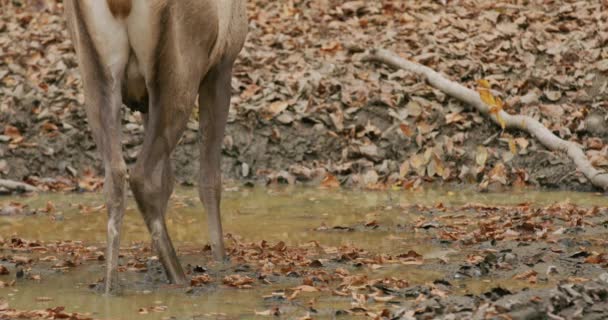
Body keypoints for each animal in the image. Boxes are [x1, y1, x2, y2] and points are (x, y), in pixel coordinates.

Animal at [63, 0, 247, 294]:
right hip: (179, 70)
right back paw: (179, 276)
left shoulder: (144, 100)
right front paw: (221, 260)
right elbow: (209, 180)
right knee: (142, 176)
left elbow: (168, 181)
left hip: (96, 73)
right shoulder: (223, 62)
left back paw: (110, 286)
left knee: (115, 177)